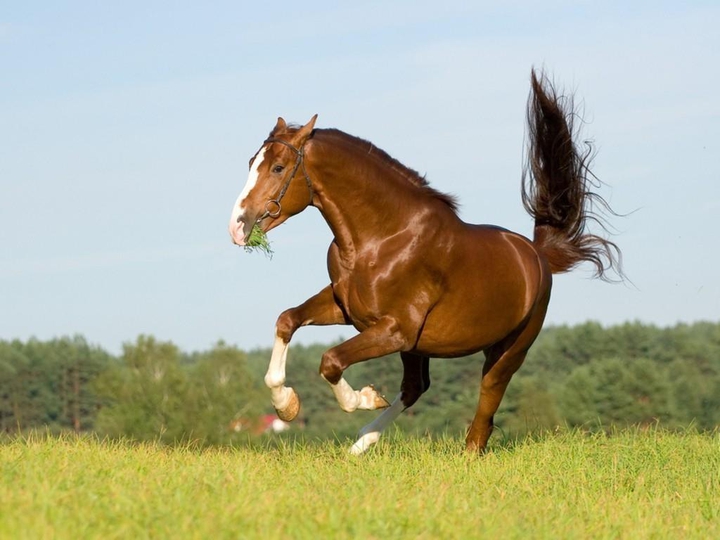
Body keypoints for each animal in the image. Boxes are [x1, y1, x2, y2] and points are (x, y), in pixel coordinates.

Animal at [228, 69, 621, 454]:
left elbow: (331, 361)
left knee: (487, 397)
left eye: (279, 168)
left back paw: (462, 450)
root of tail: (537, 255)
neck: (381, 238)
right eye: (251, 163)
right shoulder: (348, 310)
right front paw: (286, 405)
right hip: (419, 348)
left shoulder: (395, 329)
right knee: (416, 387)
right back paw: (360, 446)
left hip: (510, 348)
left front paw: (364, 397)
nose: (238, 226)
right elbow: (287, 321)